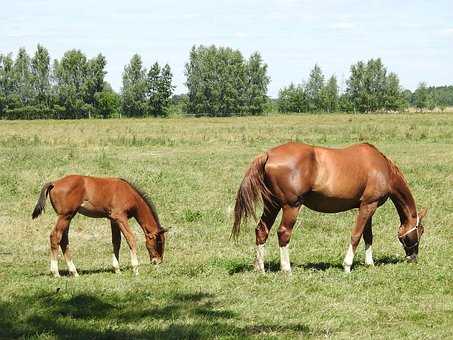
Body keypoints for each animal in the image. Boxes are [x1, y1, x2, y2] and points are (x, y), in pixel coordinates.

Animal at [31, 175, 167, 276]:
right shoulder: (120, 218)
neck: (129, 193)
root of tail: (54, 183)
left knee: (64, 240)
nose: (158, 261)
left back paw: (74, 272)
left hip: (68, 217)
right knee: (55, 236)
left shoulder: (113, 220)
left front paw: (117, 269)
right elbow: (131, 239)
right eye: (159, 242)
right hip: (65, 216)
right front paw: (136, 269)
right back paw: (56, 272)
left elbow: (116, 242)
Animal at [231, 141, 426, 274]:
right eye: (420, 230)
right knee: (283, 233)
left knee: (261, 230)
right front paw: (347, 265)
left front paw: (369, 263)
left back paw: (260, 268)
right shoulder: (367, 206)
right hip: (291, 206)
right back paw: (286, 269)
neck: (381, 167)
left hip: (272, 205)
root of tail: (268, 155)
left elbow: (368, 236)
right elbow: (356, 235)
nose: (413, 257)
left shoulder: (368, 207)